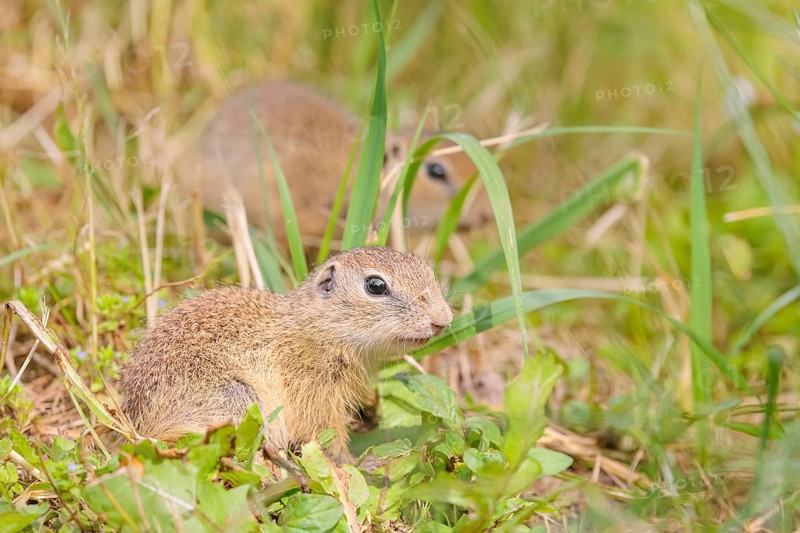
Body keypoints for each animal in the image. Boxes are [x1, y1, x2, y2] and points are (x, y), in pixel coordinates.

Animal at [119, 247, 453, 461]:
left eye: (427, 270)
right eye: (376, 285)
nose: (443, 320)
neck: (317, 328)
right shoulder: (313, 389)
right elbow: (325, 436)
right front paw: (361, 464)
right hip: (236, 399)